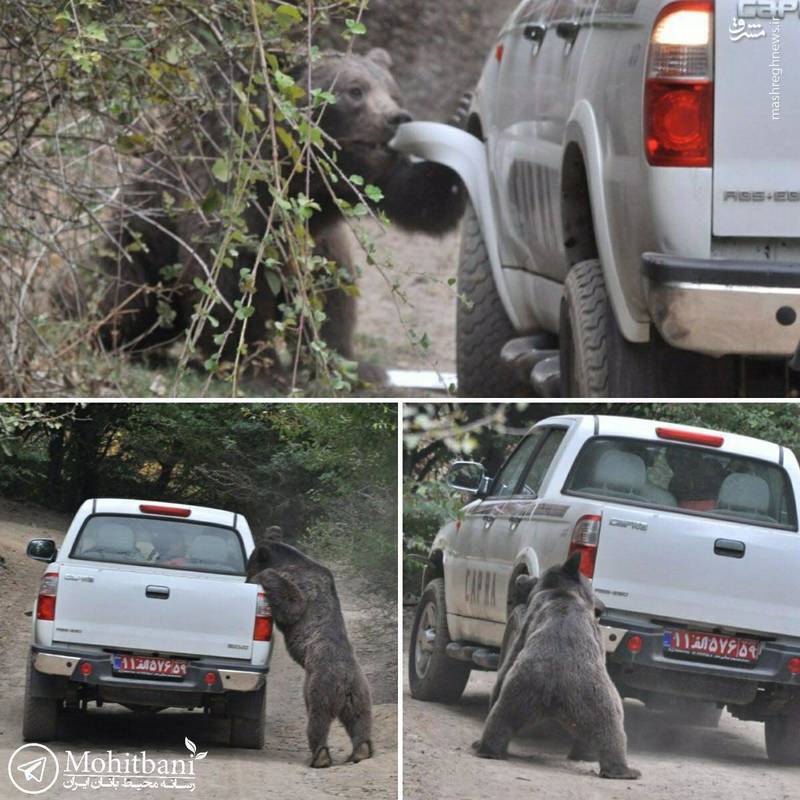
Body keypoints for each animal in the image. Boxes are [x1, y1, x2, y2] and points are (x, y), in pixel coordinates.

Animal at [94, 48, 466, 374]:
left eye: (394, 92)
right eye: (355, 90)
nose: (395, 119)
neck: (296, 175)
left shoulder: (352, 185)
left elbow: (417, 198)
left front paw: (463, 117)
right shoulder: (229, 193)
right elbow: (227, 281)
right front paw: (258, 367)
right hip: (137, 246)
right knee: (122, 295)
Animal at [245, 536, 374, 768]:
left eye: (250, 563)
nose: (246, 577)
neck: (290, 560)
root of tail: (345, 680)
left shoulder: (302, 583)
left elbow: (293, 604)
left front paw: (266, 576)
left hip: (320, 684)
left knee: (318, 719)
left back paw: (320, 756)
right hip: (360, 692)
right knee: (360, 718)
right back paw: (361, 750)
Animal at [472, 552, 640, 780]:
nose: (603, 607)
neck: (564, 593)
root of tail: (556, 690)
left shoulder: (527, 625)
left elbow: (508, 662)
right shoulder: (597, 635)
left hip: (522, 688)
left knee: (502, 716)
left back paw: (486, 747)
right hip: (595, 697)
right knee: (611, 730)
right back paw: (621, 768)